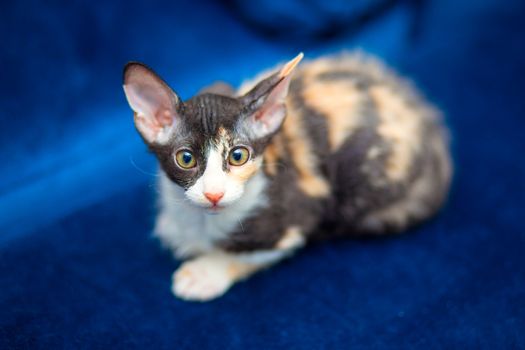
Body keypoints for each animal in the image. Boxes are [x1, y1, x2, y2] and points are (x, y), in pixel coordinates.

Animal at [122, 51, 450, 300]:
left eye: (238, 156)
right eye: (186, 159)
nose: (214, 194)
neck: (200, 219)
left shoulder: (295, 220)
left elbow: (247, 255)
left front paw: (204, 273)